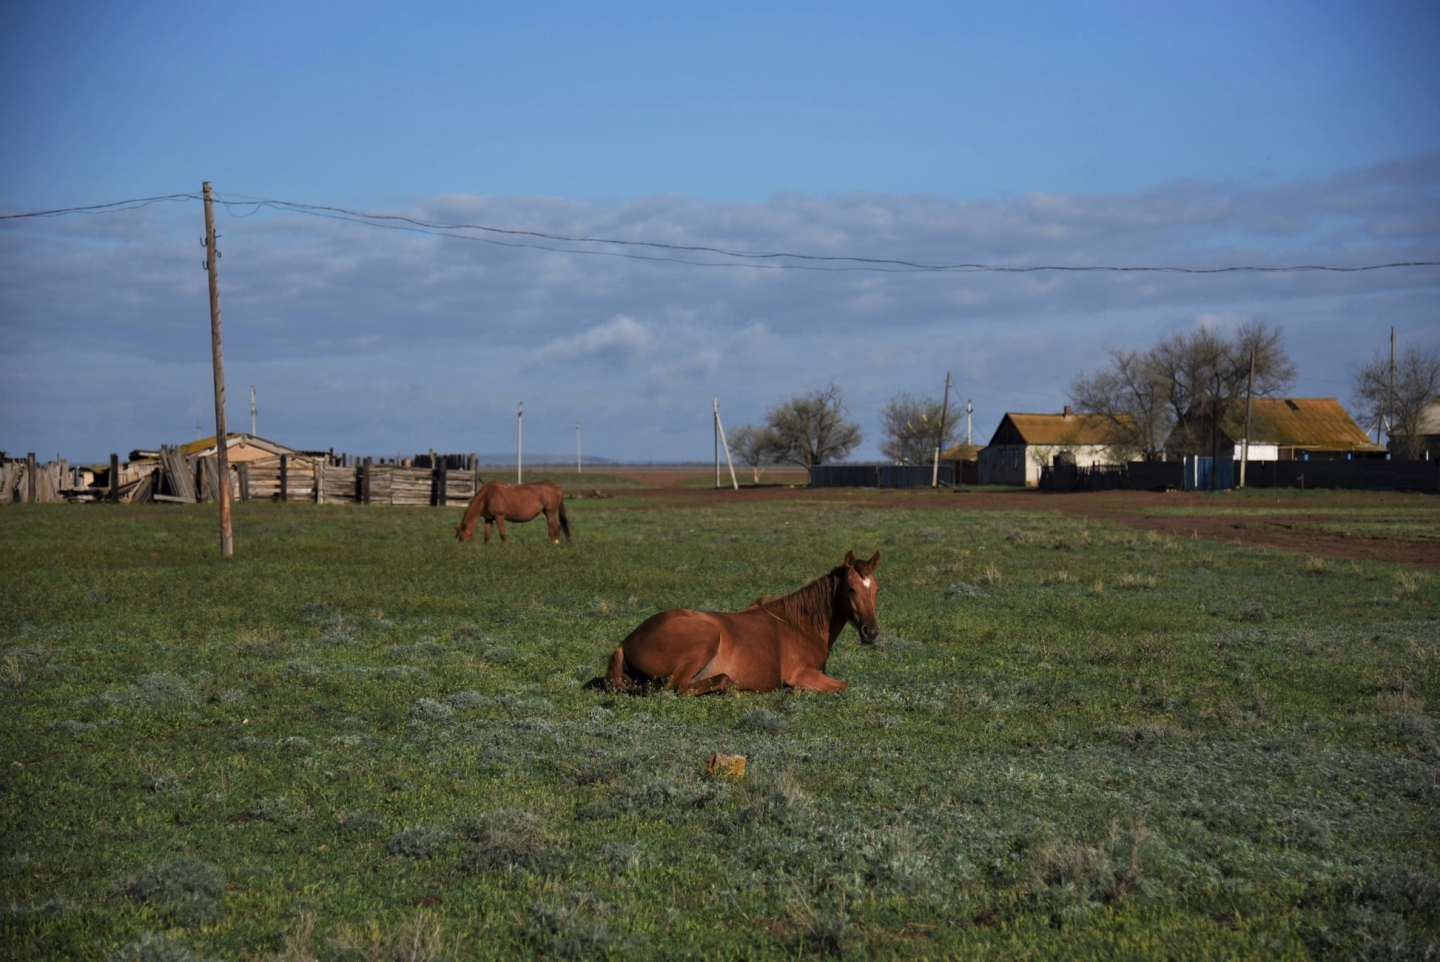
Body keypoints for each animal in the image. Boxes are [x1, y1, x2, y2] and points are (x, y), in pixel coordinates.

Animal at [604, 547, 875, 691]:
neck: (800, 627)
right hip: (706, 640)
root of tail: (625, 643)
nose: (871, 631)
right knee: (678, 687)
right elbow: (843, 685)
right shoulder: (802, 674)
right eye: (851, 589)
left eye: (876, 590)